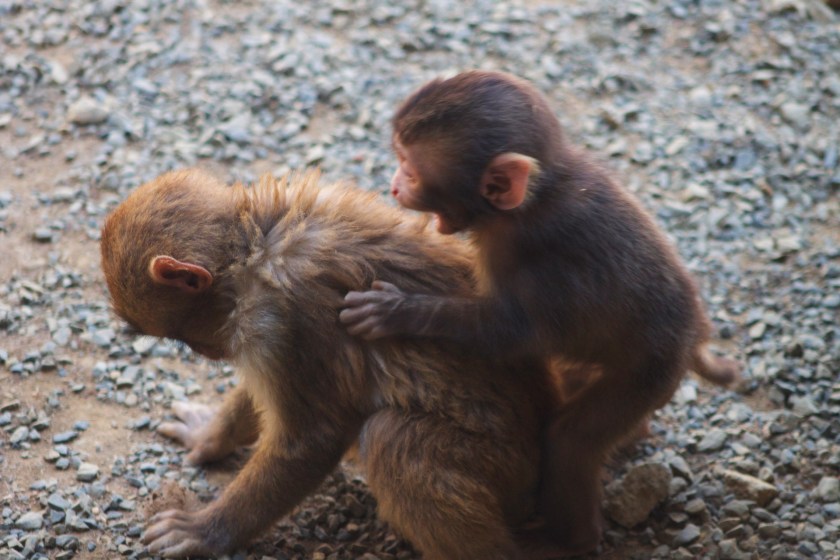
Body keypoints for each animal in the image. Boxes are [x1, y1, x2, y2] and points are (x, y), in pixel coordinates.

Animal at [100, 168, 561, 559]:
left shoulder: (278, 320)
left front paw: (205, 531)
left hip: (504, 470)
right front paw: (208, 436)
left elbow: (311, 439)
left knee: (391, 438)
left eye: (186, 340)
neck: (256, 246)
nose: (213, 353)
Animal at [339, 70, 740, 554]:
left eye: (410, 169)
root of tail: (694, 333)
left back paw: (569, 539)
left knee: (570, 440)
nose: (395, 185)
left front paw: (398, 311)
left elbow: (516, 337)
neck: (534, 198)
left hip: (648, 374)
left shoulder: (538, 260)